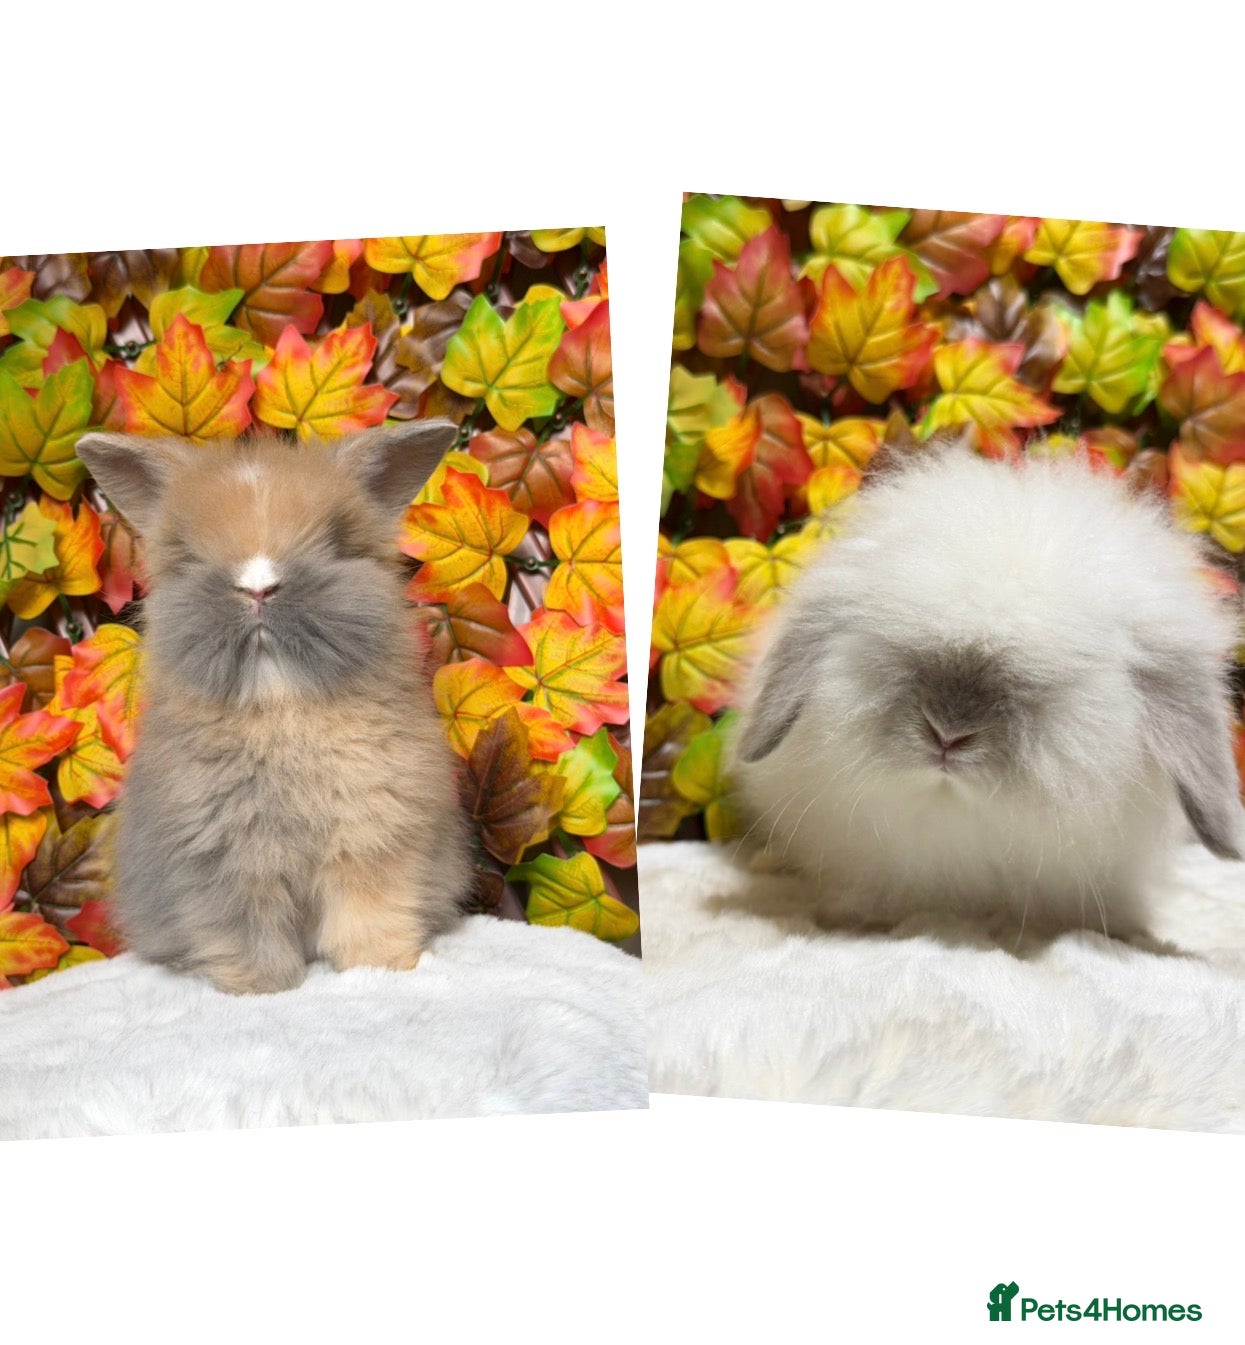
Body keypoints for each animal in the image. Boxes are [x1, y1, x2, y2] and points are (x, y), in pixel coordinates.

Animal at [76, 421, 473, 994]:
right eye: (189, 557)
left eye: (336, 544)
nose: (258, 586)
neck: (280, 699)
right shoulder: (222, 861)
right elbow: (244, 932)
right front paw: (259, 989)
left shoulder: (377, 842)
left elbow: (371, 915)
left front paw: (382, 970)